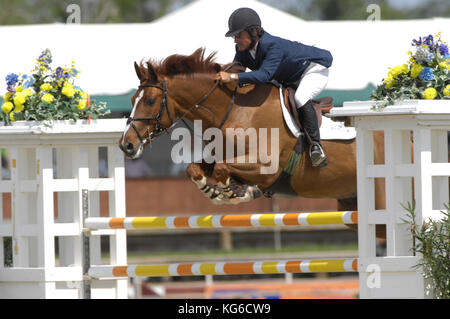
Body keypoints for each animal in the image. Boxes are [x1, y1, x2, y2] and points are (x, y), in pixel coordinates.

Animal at [119, 47, 386, 238]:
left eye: (150, 101)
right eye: (133, 100)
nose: (126, 145)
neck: (235, 110)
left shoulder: (266, 167)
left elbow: (223, 169)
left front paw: (235, 192)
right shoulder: (220, 157)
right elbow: (194, 168)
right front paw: (214, 192)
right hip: (351, 203)